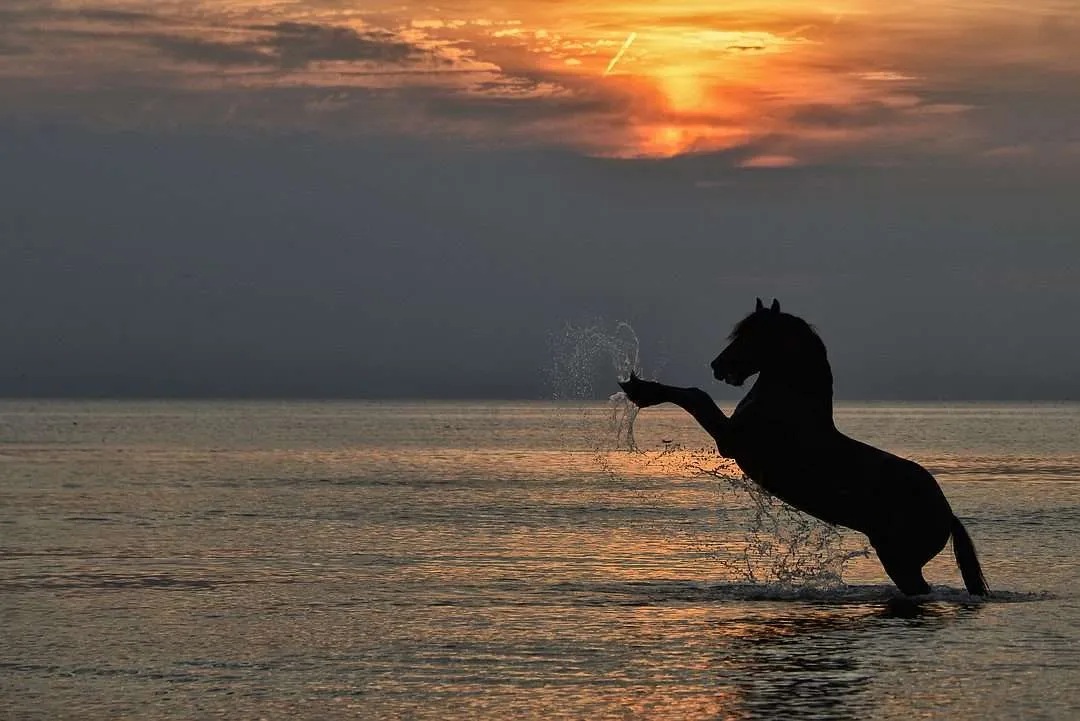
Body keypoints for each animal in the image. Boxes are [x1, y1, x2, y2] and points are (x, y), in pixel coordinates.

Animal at [618, 298, 988, 596]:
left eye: (752, 335)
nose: (718, 366)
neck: (789, 405)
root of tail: (947, 513)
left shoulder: (730, 441)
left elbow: (696, 396)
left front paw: (642, 390)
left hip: (899, 559)